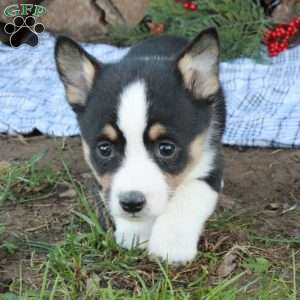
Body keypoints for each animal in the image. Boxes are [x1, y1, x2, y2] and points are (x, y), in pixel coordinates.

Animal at [55, 27, 225, 262]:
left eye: (166, 149)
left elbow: (188, 193)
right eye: (104, 149)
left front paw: (171, 245)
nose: (131, 204)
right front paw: (135, 232)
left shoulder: (211, 165)